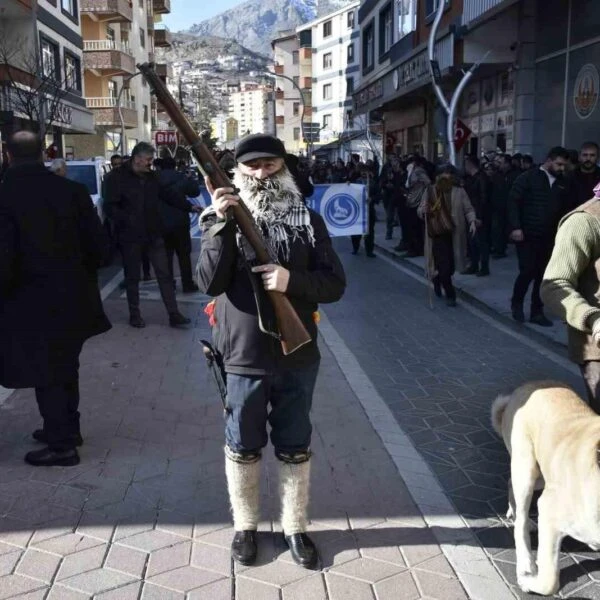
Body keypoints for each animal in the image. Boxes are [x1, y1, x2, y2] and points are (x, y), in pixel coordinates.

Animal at [490, 380, 600, 596]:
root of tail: (528, 385)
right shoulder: (549, 511)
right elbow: (549, 580)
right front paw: (529, 580)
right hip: (526, 470)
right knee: (521, 522)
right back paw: (526, 562)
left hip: (541, 476)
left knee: (510, 483)